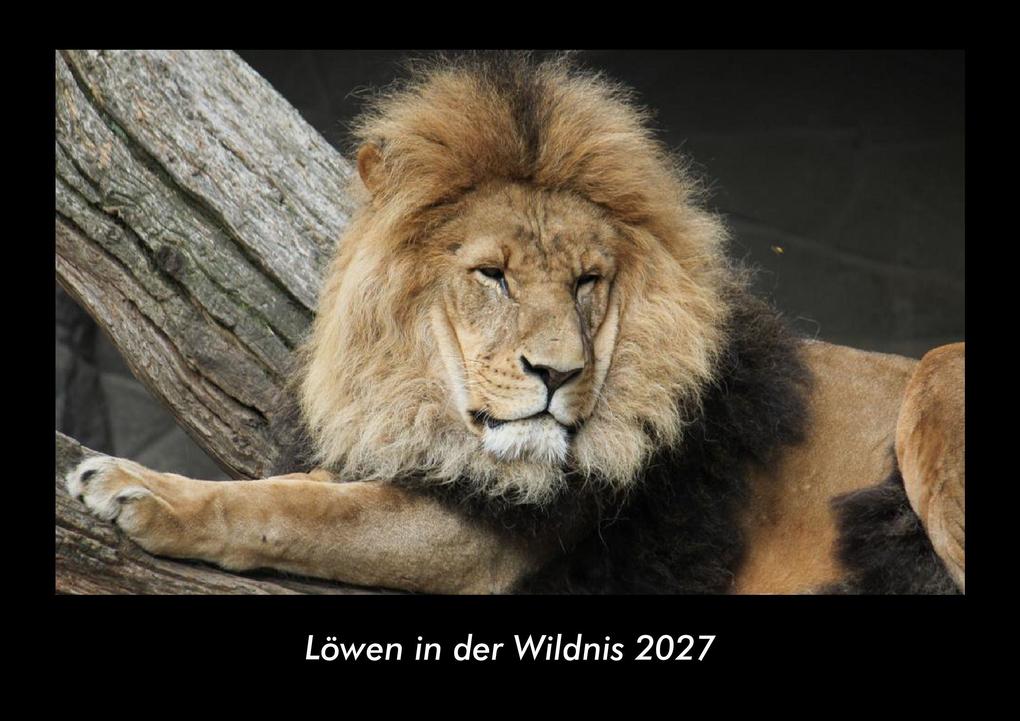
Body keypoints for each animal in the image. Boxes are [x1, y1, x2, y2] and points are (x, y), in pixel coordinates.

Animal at [65, 52, 964, 594]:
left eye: (588, 281)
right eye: (492, 275)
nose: (557, 374)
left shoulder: (483, 541)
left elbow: (293, 514)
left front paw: (139, 491)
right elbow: (302, 489)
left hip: (934, 374)